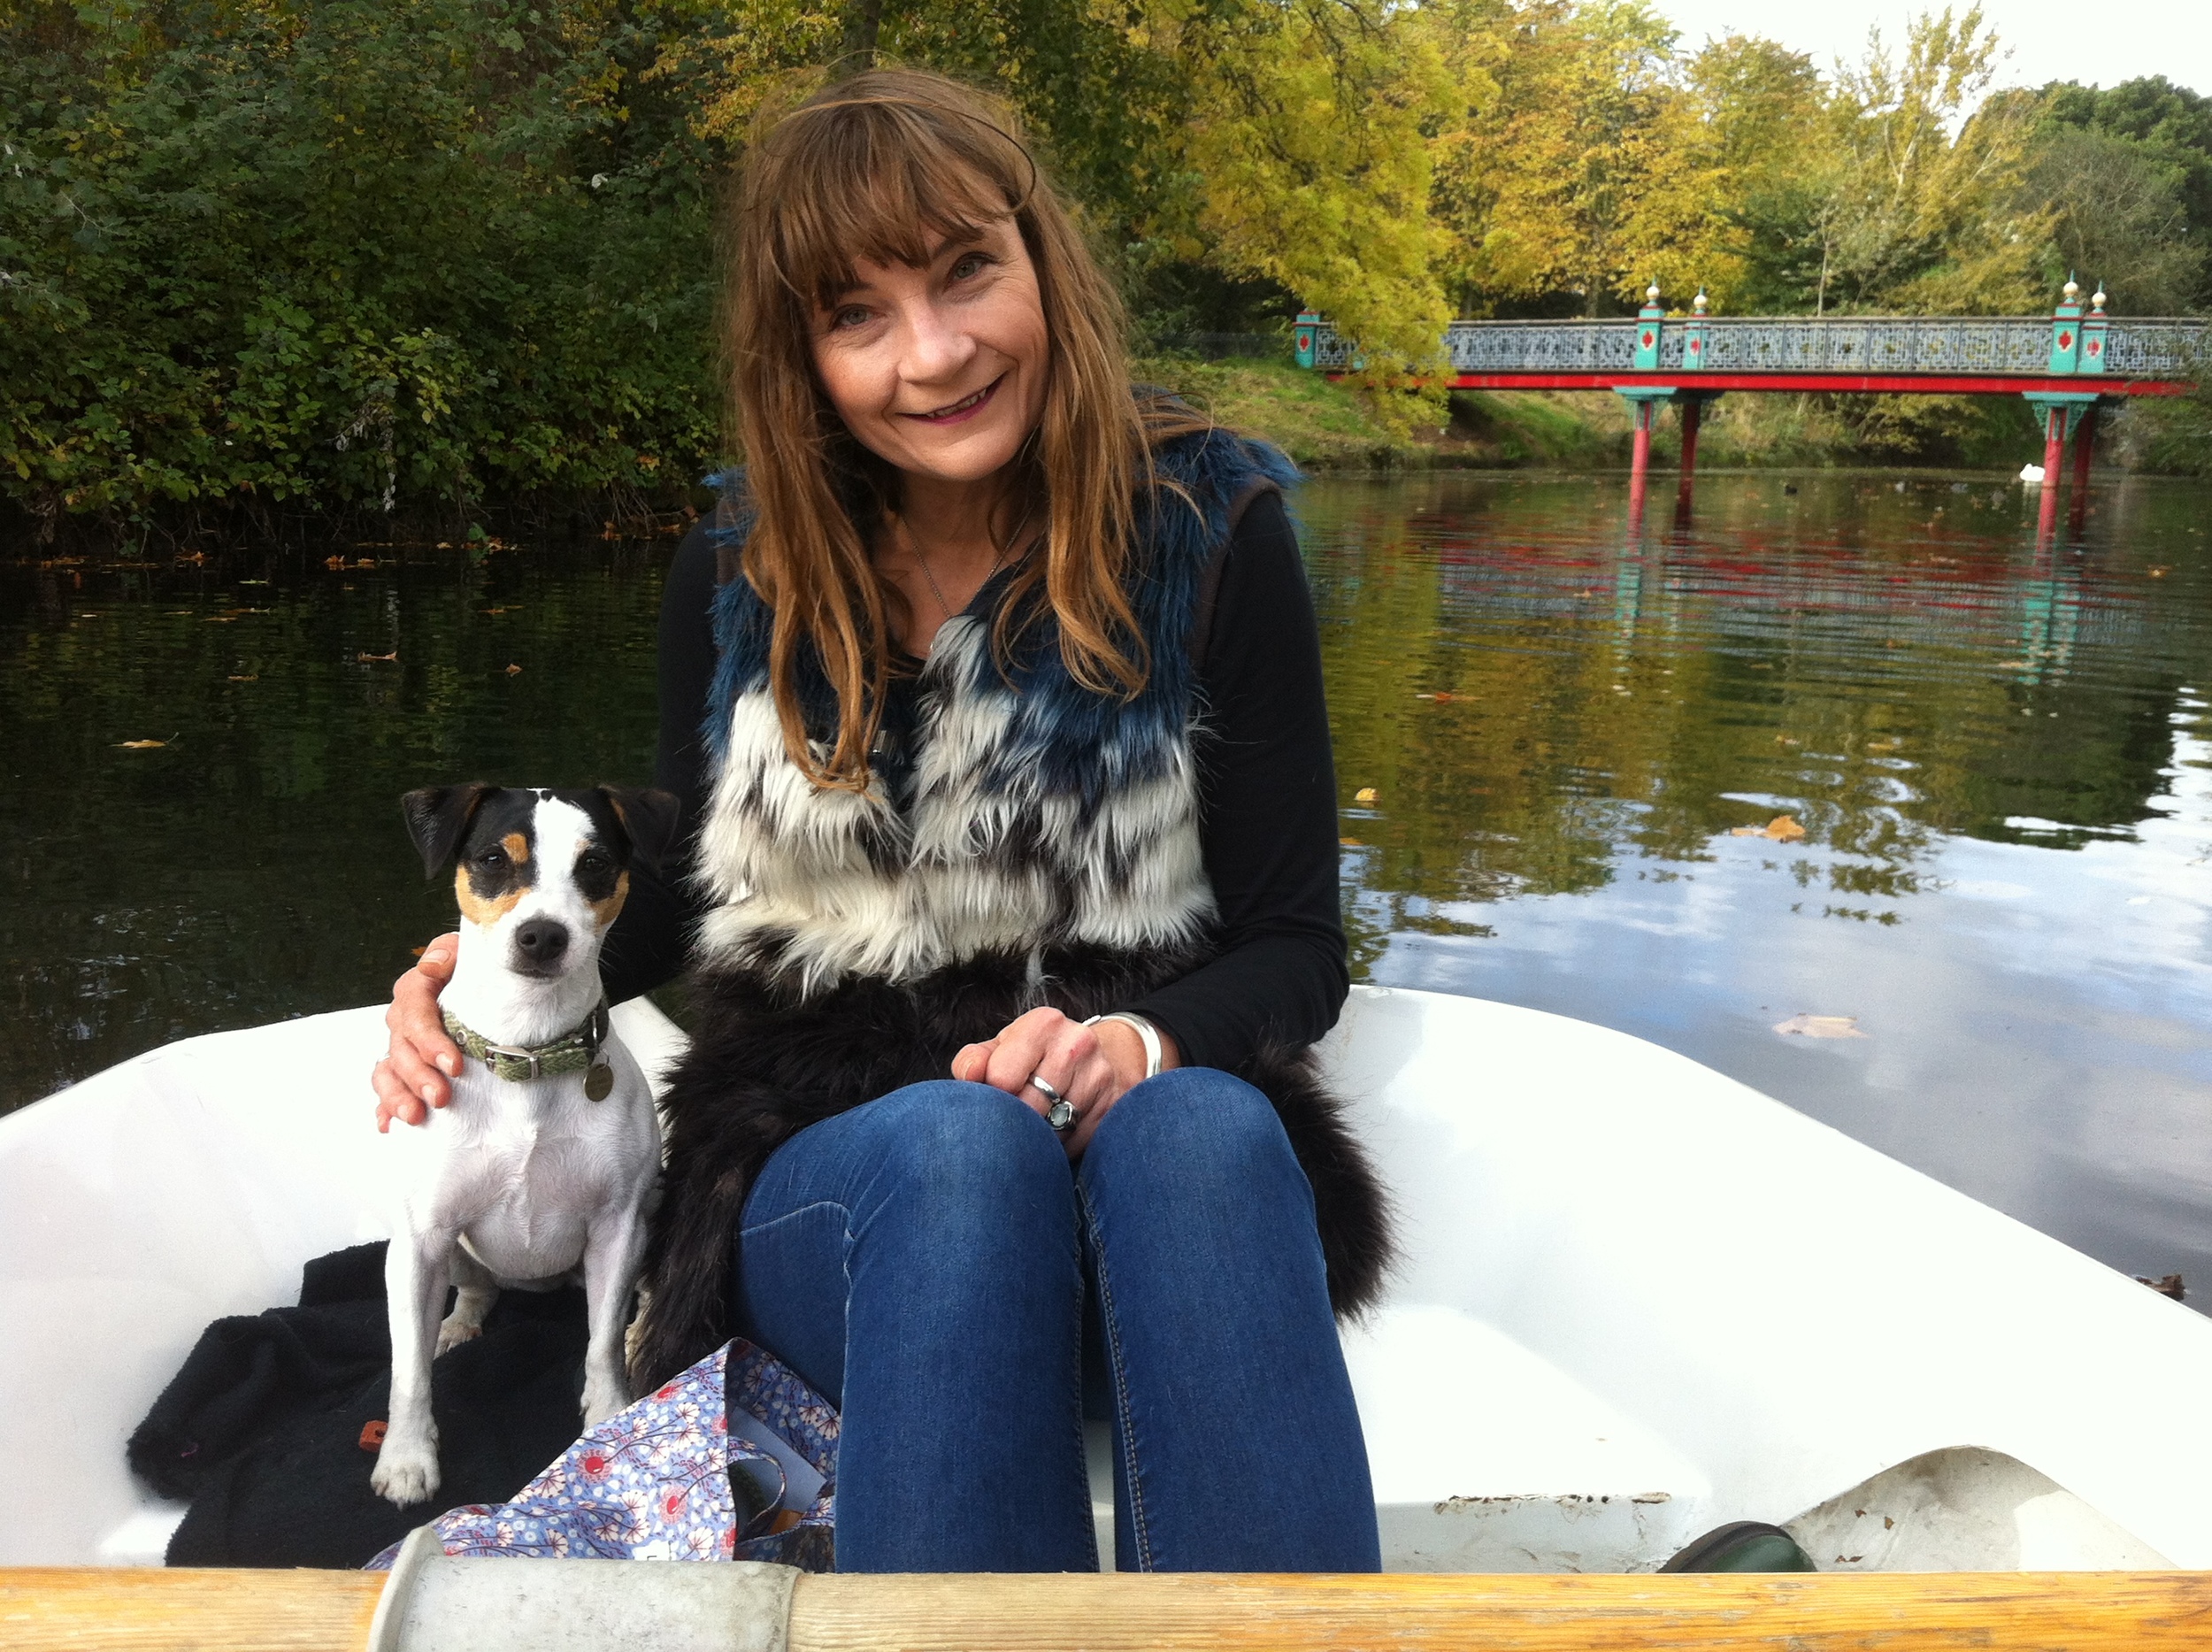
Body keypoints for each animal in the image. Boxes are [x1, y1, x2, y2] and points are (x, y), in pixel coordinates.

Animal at [369, 782, 672, 1503]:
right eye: (490, 859)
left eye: (595, 864)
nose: (543, 935)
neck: (529, 1053)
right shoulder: (420, 1240)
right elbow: (409, 1372)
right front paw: (406, 1458)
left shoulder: (617, 1227)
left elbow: (600, 1343)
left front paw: (610, 1415)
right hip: (448, 1252)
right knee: (475, 1292)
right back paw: (456, 1326)